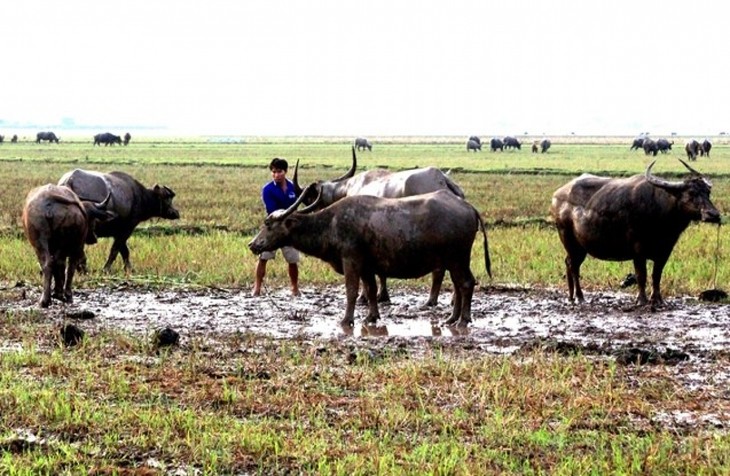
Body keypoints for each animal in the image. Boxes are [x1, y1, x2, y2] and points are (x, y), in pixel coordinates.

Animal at [247, 188, 492, 330]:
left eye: (268, 224)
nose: (252, 244)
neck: (331, 224)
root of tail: (467, 206)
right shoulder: (367, 267)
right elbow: (371, 290)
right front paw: (372, 317)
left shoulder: (351, 261)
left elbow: (352, 291)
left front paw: (347, 319)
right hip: (454, 261)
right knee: (460, 286)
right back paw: (451, 318)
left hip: (457, 258)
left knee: (466, 284)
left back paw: (463, 320)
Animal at [292, 147, 466, 306]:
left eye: (309, 199)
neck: (348, 189)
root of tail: (442, 179)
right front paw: (383, 296)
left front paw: (365, 297)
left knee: (440, 269)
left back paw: (432, 300)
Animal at [548, 160, 720, 306]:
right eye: (691, 193)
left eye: (707, 192)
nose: (713, 214)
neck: (660, 212)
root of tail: (557, 196)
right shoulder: (638, 250)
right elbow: (641, 275)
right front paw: (641, 300)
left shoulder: (665, 251)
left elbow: (656, 275)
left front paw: (657, 299)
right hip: (569, 240)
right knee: (573, 266)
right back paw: (579, 297)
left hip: (580, 247)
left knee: (569, 263)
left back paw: (571, 297)